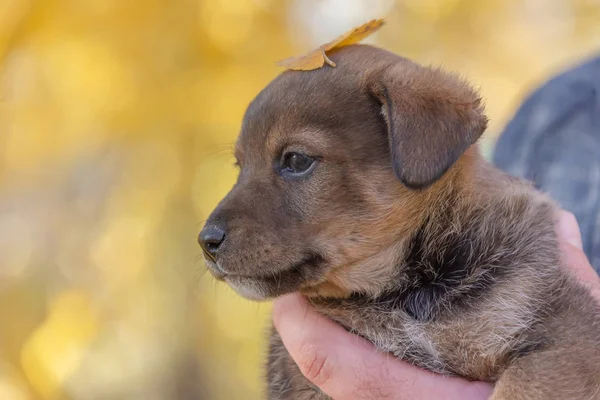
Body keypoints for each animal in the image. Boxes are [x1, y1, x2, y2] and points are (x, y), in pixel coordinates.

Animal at [199, 45, 600, 398]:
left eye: (296, 160)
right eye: (240, 166)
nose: (206, 242)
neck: (406, 292)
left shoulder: (566, 334)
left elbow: (524, 383)